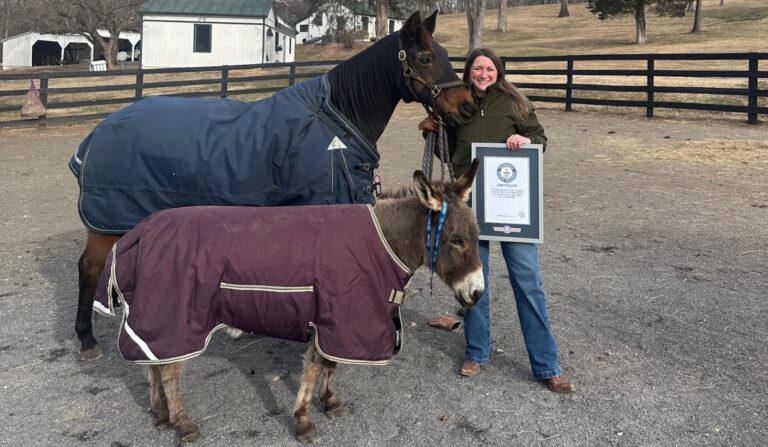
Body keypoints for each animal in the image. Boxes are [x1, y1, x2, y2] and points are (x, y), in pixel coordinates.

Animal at [70, 10, 476, 361]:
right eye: (425, 58)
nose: (468, 106)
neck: (337, 120)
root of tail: (95, 135)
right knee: (89, 268)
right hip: (105, 221)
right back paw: (86, 339)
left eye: (444, 55)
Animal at [93, 162, 483, 443]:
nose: (477, 293)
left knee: (153, 364)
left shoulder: (337, 321)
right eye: (457, 240)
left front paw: (330, 403)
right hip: (174, 318)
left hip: (155, 316)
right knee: (169, 370)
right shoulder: (337, 316)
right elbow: (314, 368)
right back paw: (183, 424)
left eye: (477, 237)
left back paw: (160, 416)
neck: (382, 240)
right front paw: (304, 422)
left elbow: (329, 365)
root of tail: (137, 234)